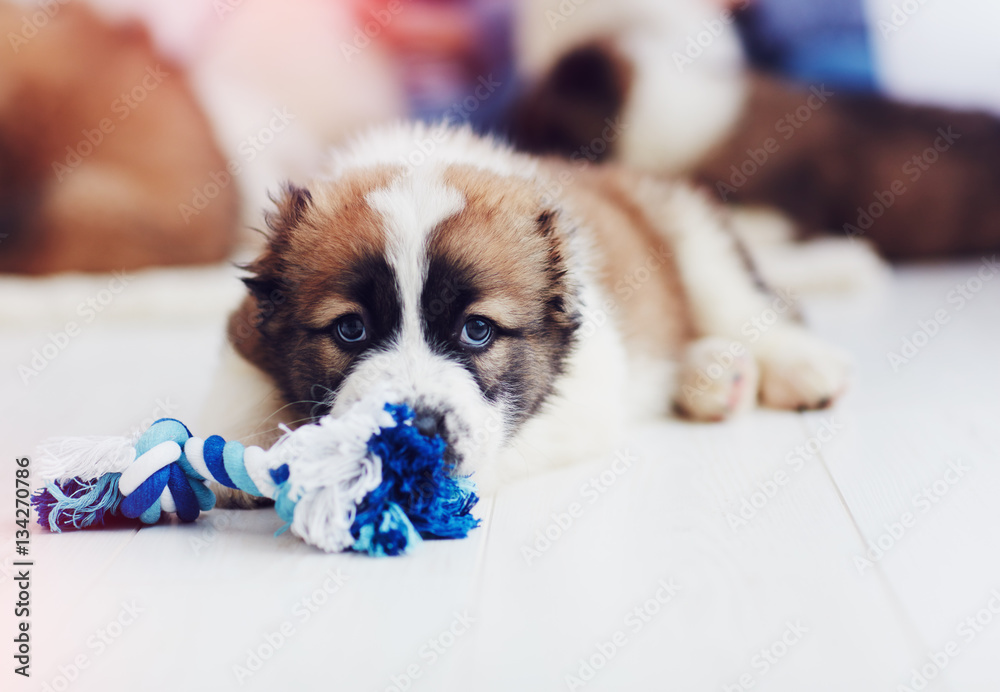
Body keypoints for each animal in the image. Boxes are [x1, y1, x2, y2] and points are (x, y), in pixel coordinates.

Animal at [205, 124, 852, 492]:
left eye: (477, 331)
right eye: (350, 329)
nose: (417, 432)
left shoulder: (584, 399)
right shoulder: (244, 334)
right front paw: (243, 447)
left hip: (691, 234)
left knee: (743, 304)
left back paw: (793, 366)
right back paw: (714, 376)